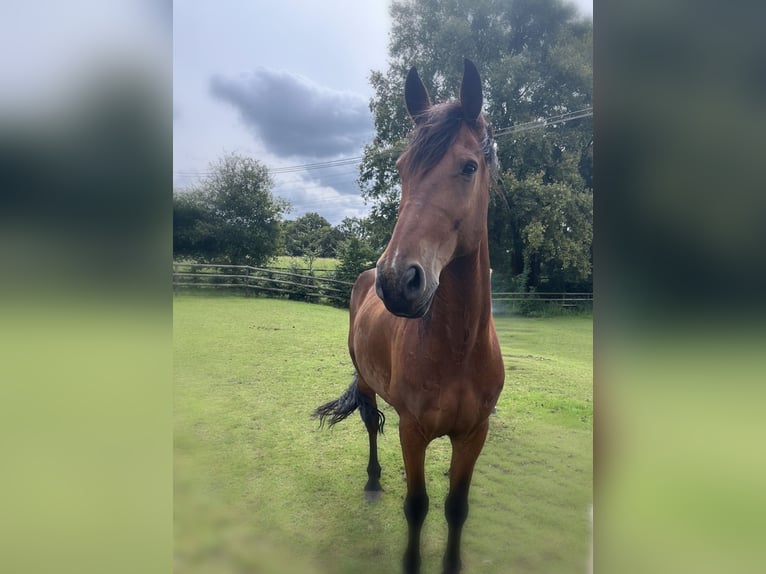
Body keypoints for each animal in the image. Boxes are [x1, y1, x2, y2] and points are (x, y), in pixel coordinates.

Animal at [316, 59, 508, 574]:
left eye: (469, 166)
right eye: (402, 169)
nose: (397, 280)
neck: (458, 349)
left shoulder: (474, 434)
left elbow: (456, 508)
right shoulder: (413, 432)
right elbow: (417, 506)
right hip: (367, 384)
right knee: (369, 424)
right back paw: (373, 480)